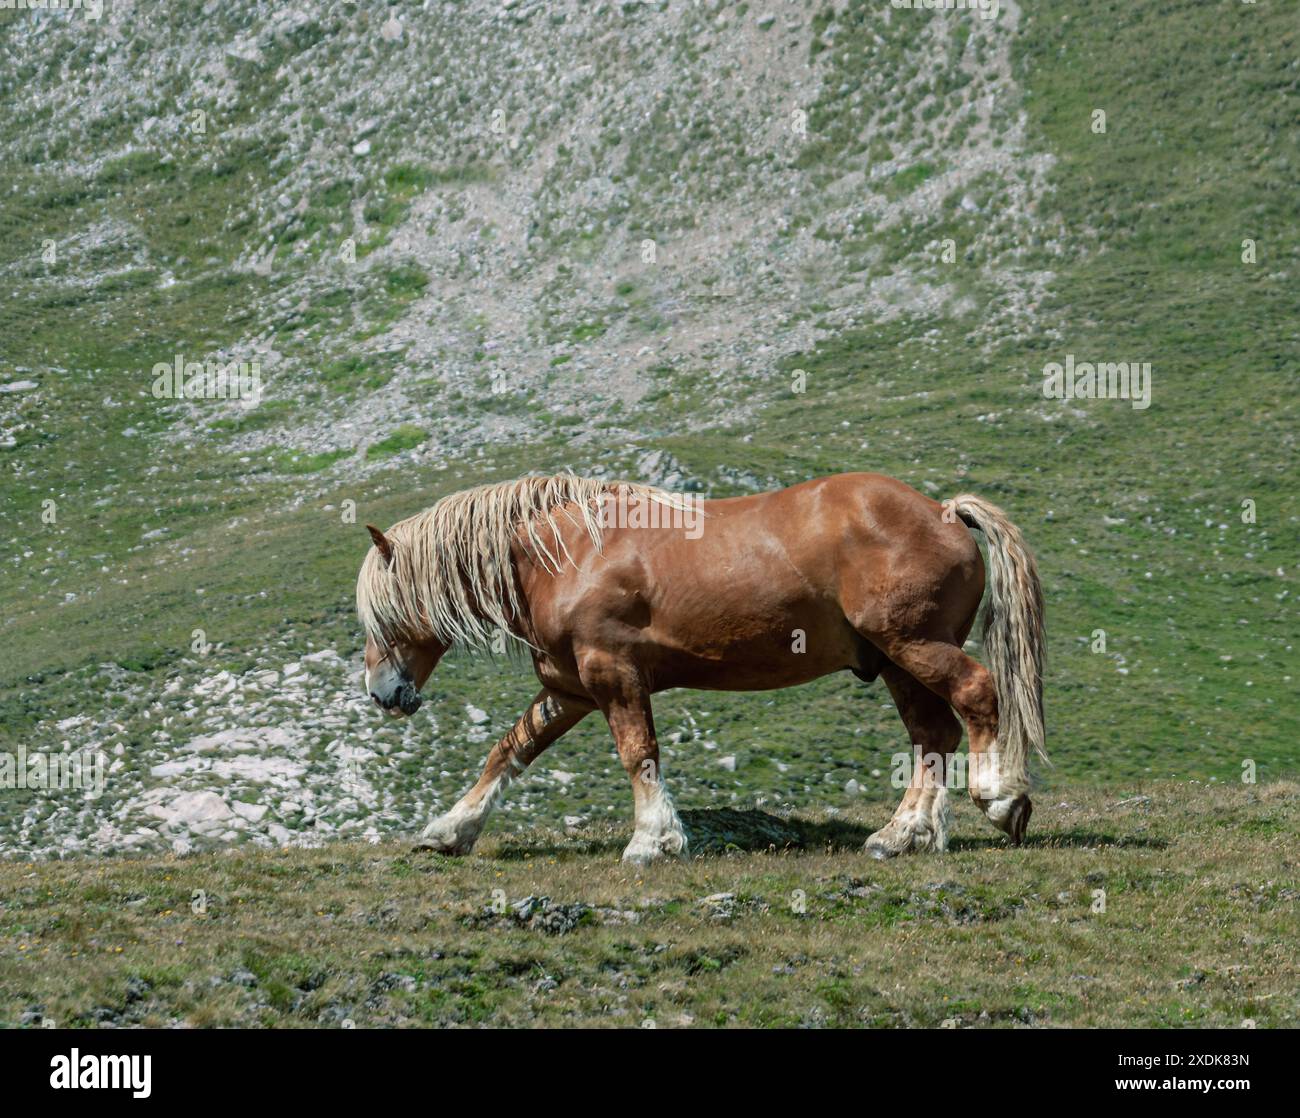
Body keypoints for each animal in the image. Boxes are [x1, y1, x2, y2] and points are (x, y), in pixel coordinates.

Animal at [355, 472, 1045, 864]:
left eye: (383, 614)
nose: (384, 694)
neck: (565, 553)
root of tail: (943, 511)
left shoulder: (613, 674)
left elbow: (638, 753)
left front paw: (652, 841)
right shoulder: (570, 689)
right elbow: (508, 752)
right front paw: (451, 831)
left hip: (915, 644)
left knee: (976, 696)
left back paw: (1000, 799)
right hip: (898, 659)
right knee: (933, 737)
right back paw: (903, 837)